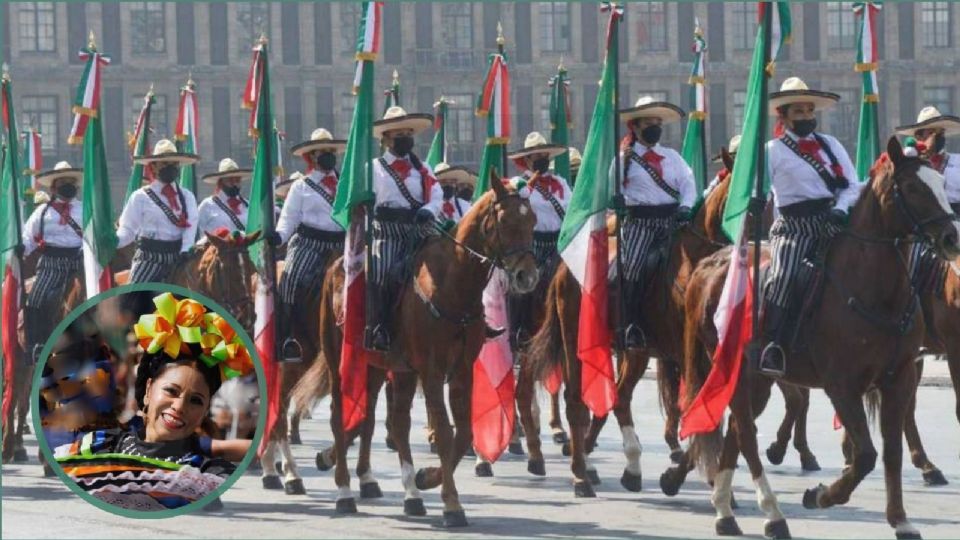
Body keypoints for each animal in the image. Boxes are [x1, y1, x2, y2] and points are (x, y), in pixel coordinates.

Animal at [296, 174, 536, 528]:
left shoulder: (460, 370)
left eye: (532, 221)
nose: (527, 276)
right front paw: (452, 505)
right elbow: (446, 431)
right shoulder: (432, 371)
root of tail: (337, 266)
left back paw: (404, 491)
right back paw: (344, 492)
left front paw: (427, 478)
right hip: (340, 358)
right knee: (341, 417)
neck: (452, 285)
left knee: (388, 421)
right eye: (505, 221)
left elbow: (463, 432)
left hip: (385, 368)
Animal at [524, 150, 736, 496]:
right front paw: (676, 477)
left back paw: (628, 468)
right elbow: (697, 407)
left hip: (635, 350)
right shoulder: (687, 354)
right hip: (577, 340)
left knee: (620, 397)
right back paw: (581, 473)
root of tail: (564, 267)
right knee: (576, 400)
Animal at [676, 137, 960, 536]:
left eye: (940, 181)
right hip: (734, 371)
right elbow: (866, 455)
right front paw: (822, 495)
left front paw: (900, 520)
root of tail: (709, 265)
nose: (951, 238)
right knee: (745, 432)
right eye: (912, 187)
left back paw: (725, 511)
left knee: (736, 431)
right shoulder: (842, 384)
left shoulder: (899, 376)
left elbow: (891, 451)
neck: (874, 290)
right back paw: (772, 514)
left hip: (755, 378)